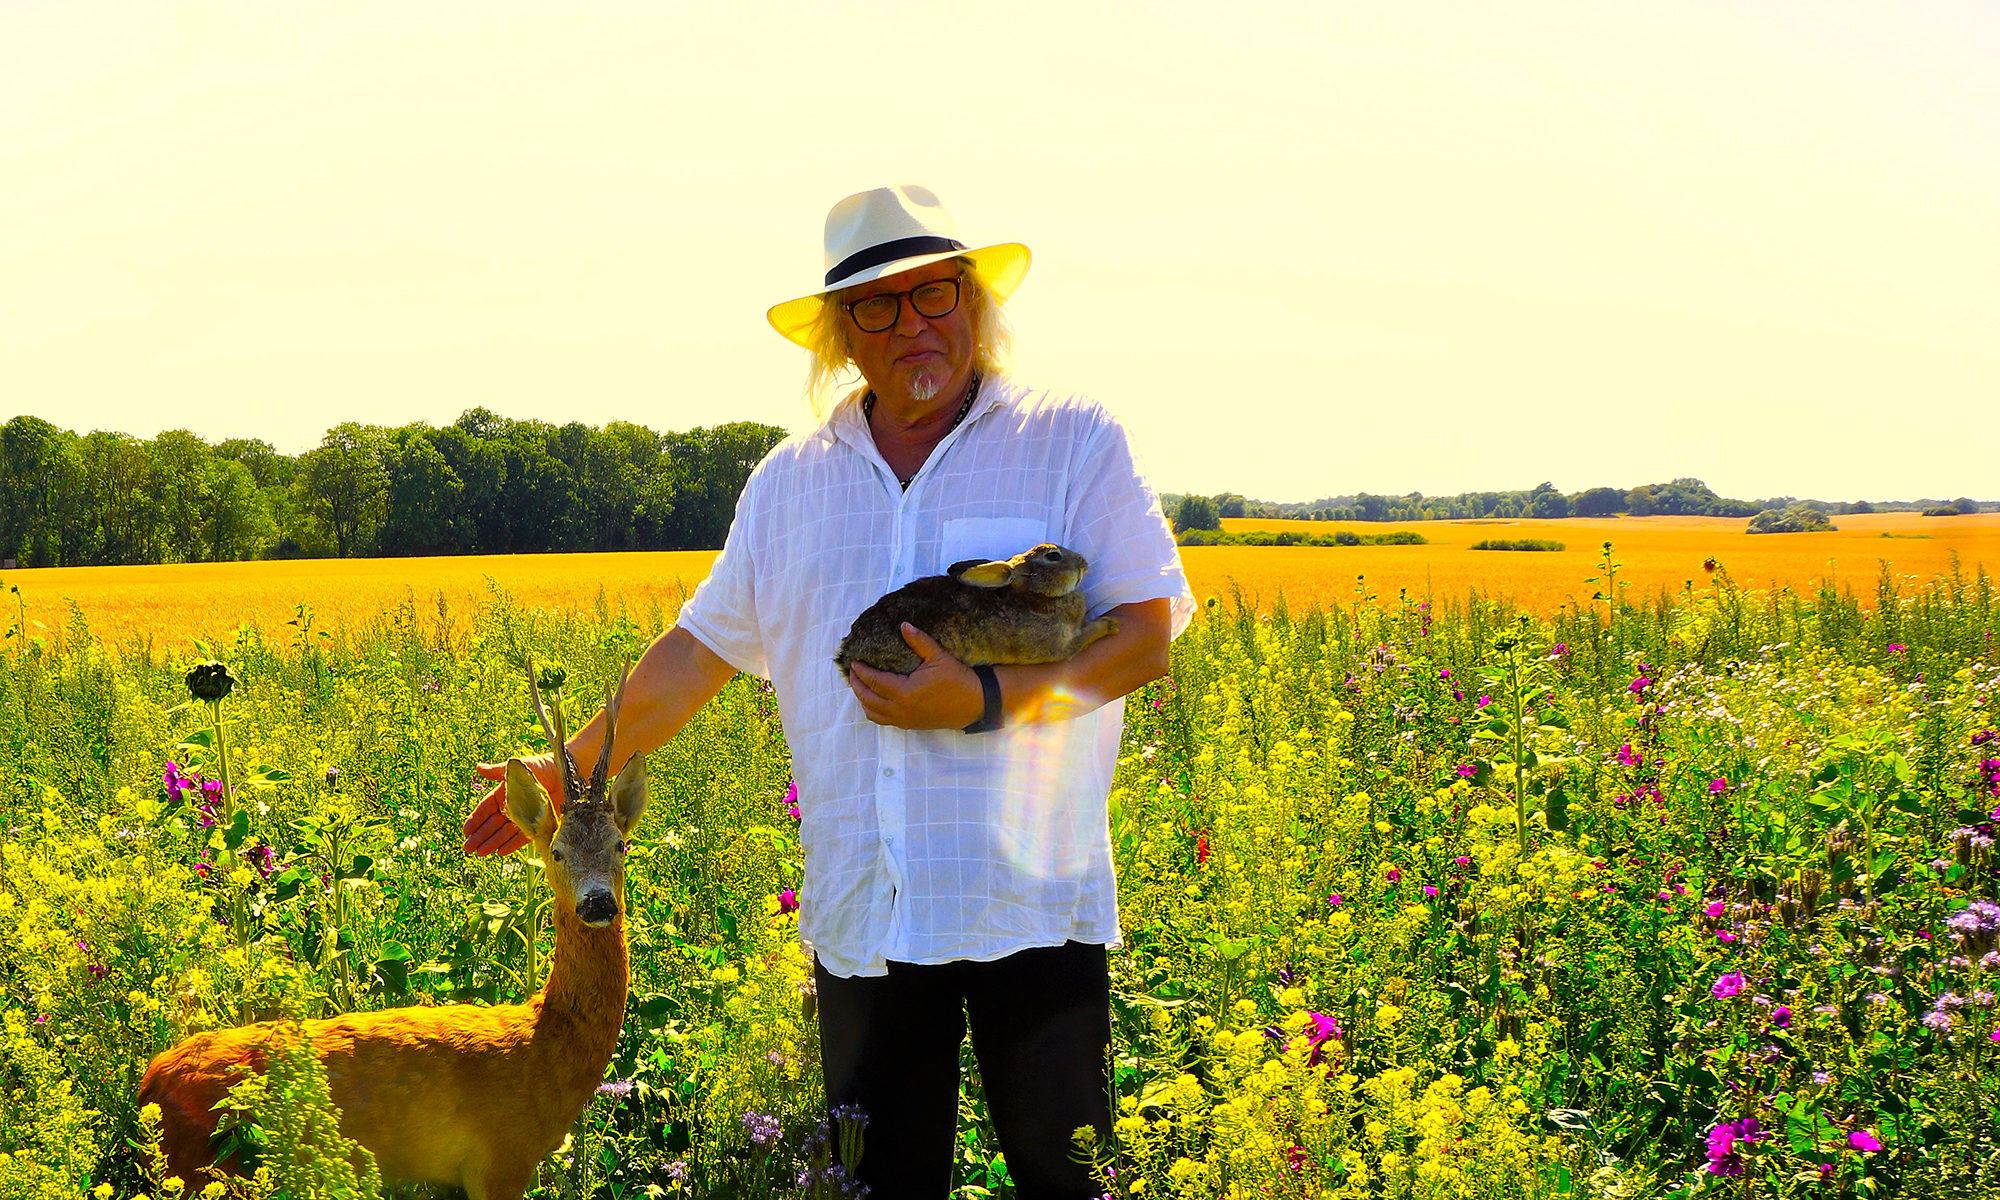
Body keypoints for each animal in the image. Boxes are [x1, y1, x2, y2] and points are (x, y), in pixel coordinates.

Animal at [145, 660, 644, 1192]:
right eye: (557, 852)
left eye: (620, 845)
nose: (597, 902)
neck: (542, 1046)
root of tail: (149, 1080)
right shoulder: (500, 1158)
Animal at [840, 544, 1128, 676]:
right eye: (1053, 556)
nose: (1084, 563)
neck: (1032, 595)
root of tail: (847, 655)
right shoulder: (1060, 647)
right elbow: (1084, 637)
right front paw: (1110, 625)